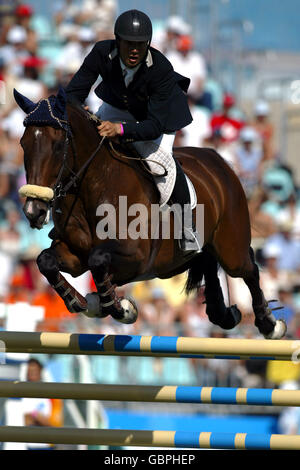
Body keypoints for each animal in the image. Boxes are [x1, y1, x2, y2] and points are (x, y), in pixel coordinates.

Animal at [13, 87, 286, 338]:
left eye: (58, 144)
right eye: (23, 144)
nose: (33, 211)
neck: (93, 187)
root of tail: (217, 160)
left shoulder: (137, 257)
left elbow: (98, 260)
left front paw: (120, 308)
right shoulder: (73, 254)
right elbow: (46, 261)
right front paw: (84, 302)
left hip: (231, 249)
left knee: (249, 268)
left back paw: (270, 325)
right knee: (208, 262)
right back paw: (224, 313)